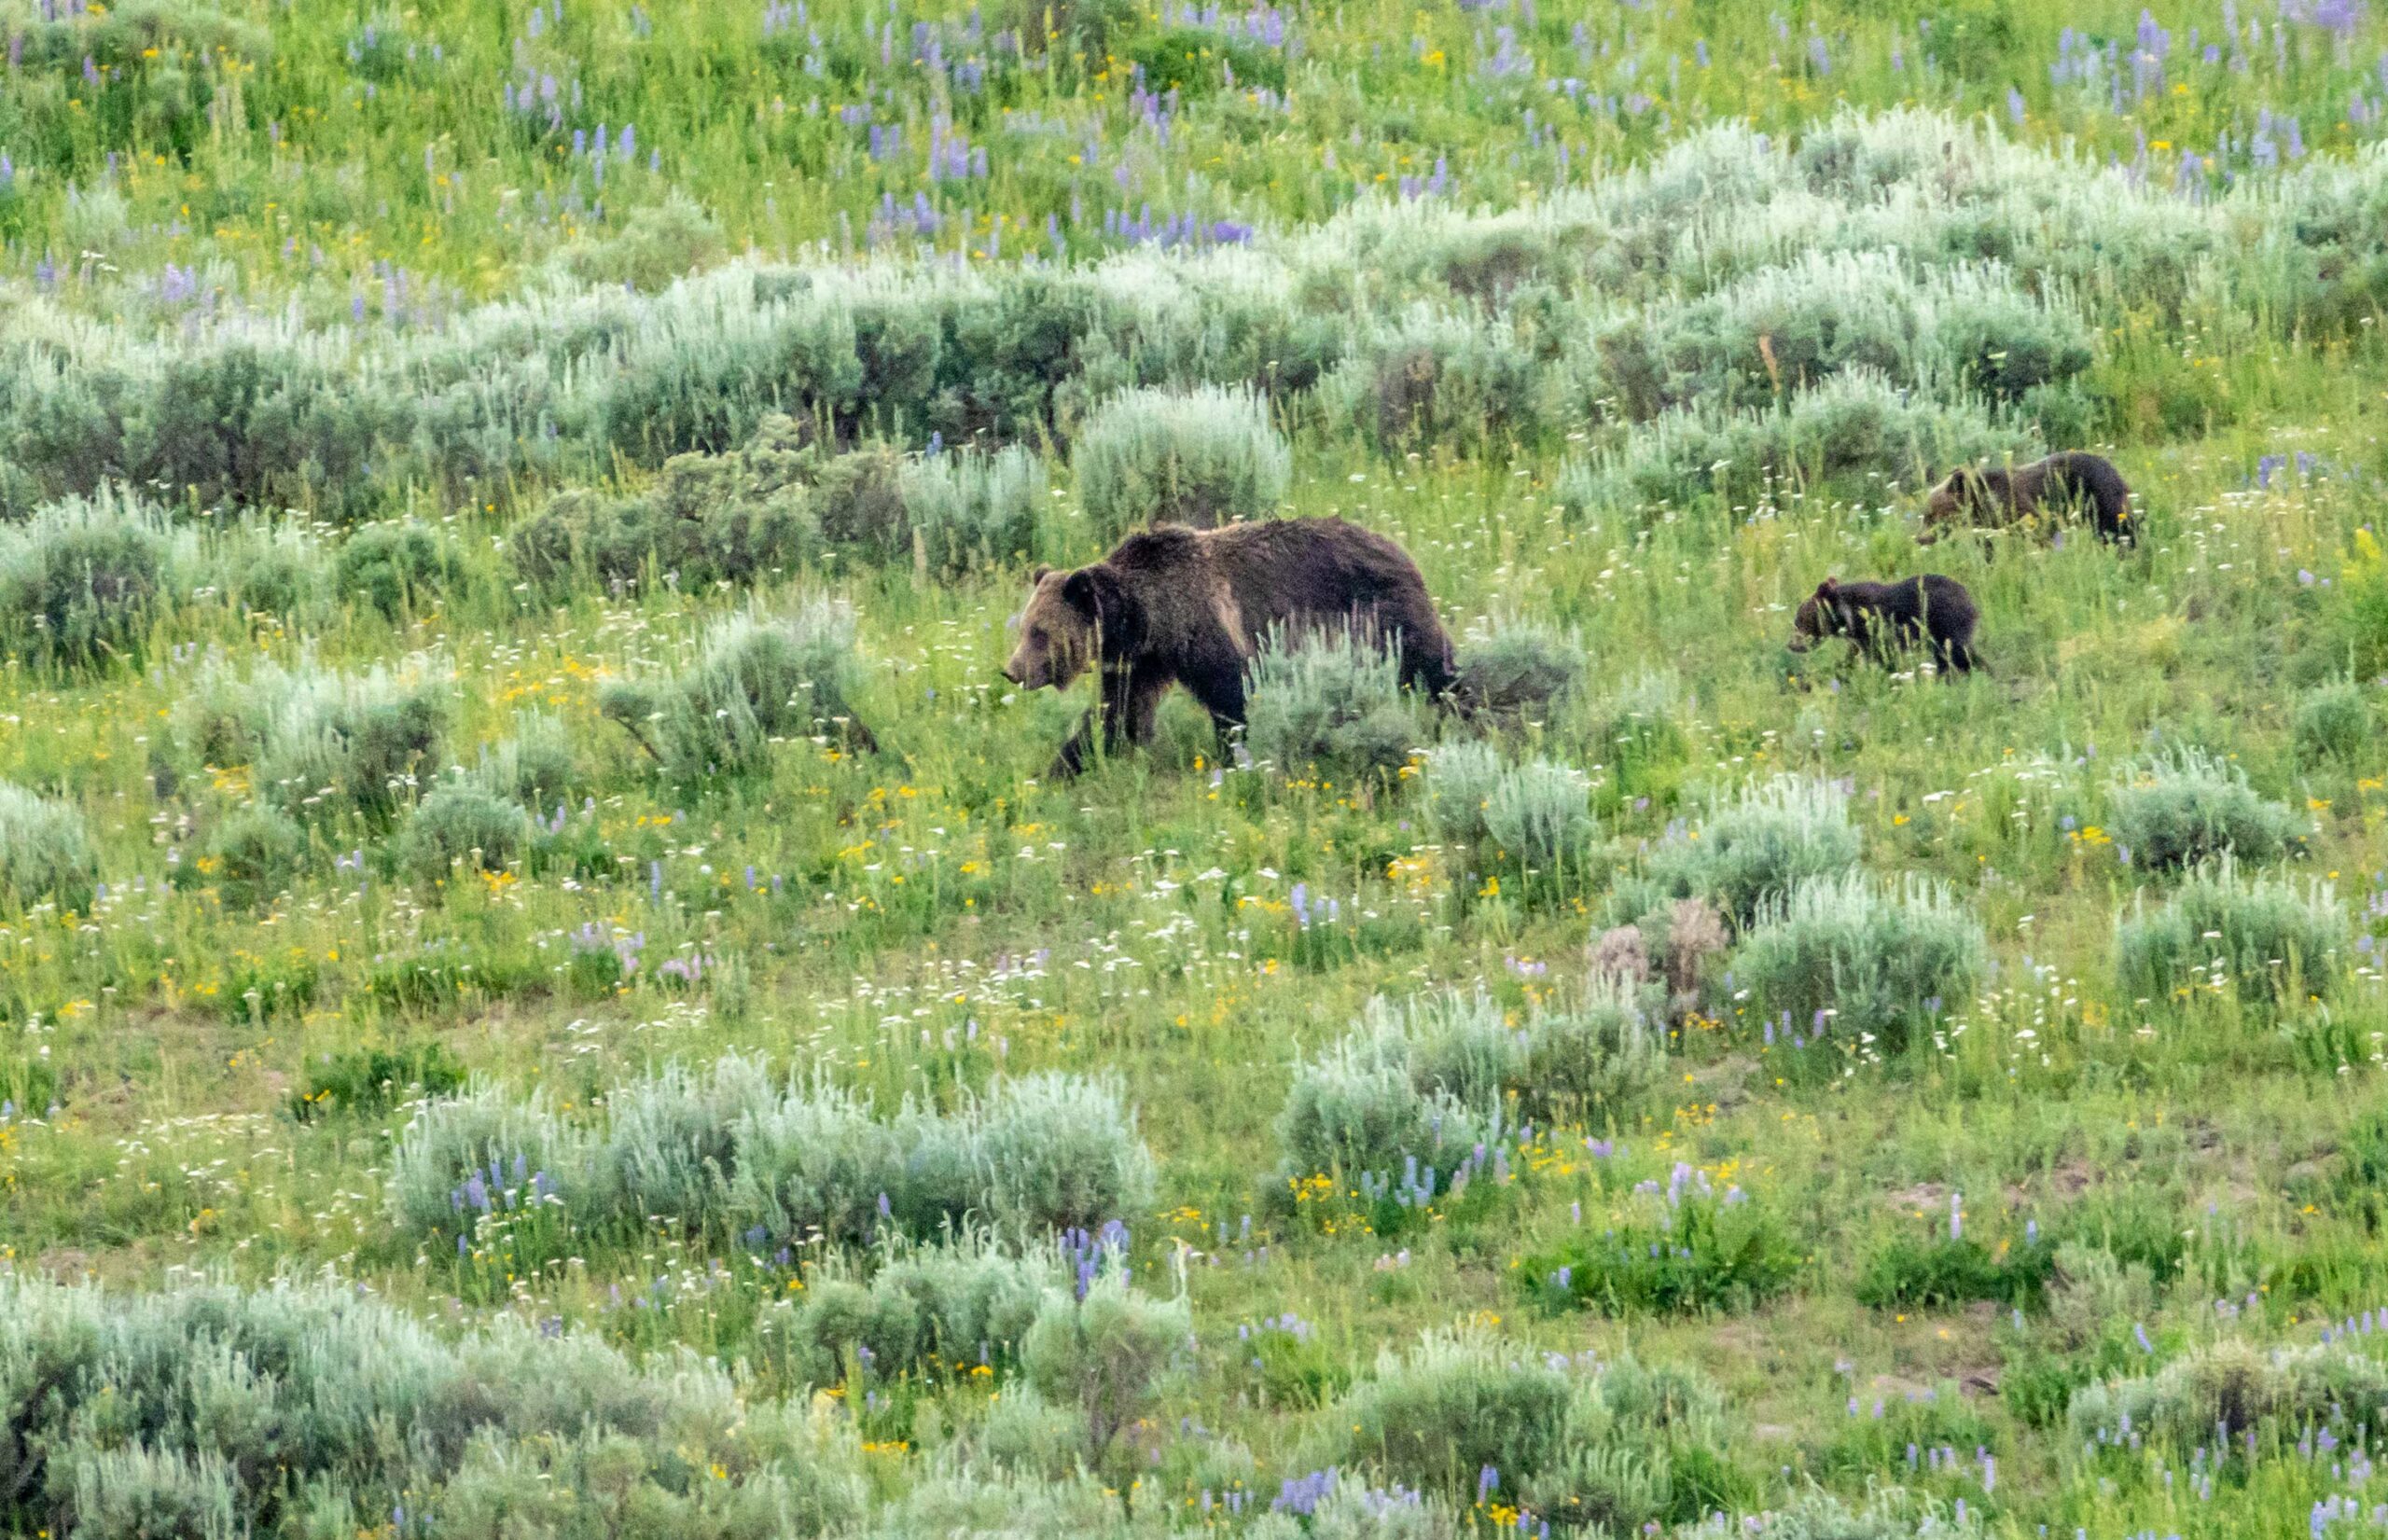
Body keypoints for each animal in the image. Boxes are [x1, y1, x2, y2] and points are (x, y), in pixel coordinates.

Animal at [1002, 517, 1456, 777]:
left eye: (1039, 632)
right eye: (1024, 627)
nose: (1012, 670)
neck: (1149, 613)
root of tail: (1399, 549)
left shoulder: (1206, 632)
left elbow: (1231, 697)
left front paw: (1235, 757)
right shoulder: (1142, 659)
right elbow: (1118, 713)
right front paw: (1064, 766)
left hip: (1379, 613)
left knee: (1432, 664)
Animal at [1785, 575, 1980, 675]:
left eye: (1799, 620)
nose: (1792, 645)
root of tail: (1969, 598)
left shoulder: (1874, 628)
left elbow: (1884, 655)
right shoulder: (1859, 638)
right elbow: (1851, 658)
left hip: (1944, 624)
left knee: (1956, 655)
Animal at [1919, 451, 2135, 547]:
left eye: (1930, 515)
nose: (1920, 538)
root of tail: (2116, 472)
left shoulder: (2021, 506)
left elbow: (2040, 529)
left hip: (2099, 497)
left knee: (2117, 527)